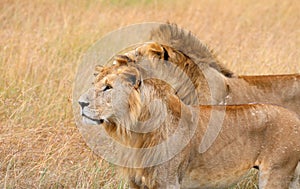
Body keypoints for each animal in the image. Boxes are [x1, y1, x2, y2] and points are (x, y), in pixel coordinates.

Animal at [78, 58, 300, 188]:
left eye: (108, 87)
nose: (80, 103)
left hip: (275, 173)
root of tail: (294, 117)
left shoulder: (168, 182)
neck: (135, 132)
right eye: (95, 84)